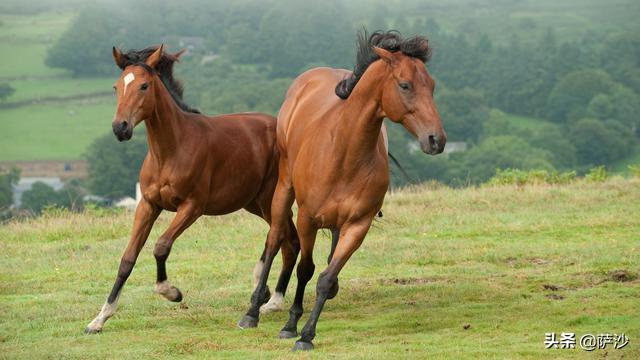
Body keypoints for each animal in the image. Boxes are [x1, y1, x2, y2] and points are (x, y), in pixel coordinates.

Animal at [84, 45, 302, 334]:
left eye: (144, 85)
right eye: (117, 86)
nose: (120, 128)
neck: (171, 150)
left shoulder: (192, 207)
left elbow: (161, 246)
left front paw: (171, 292)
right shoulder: (148, 205)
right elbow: (128, 258)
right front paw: (99, 319)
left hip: (269, 200)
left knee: (282, 239)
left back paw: (267, 295)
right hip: (253, 203)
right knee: (290, 240)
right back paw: (270, 296)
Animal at [242, 31, 448, 348]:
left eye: (433, 85)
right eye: (405, 85)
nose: (436, 140)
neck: (343, 152)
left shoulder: (358, 225)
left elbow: (326, 277)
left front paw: (307, 334)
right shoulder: (307, 219)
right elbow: (306, 269)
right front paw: (291, 325)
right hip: (284, 188)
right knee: (275, 239)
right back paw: (252, 310)